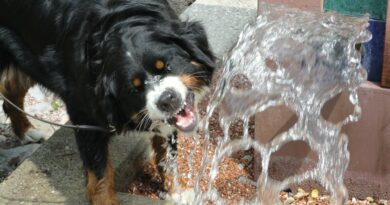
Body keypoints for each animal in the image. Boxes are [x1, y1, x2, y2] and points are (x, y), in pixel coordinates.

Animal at [0, 0, 215, 204]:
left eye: (166, 66)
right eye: (134, 88)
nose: (167, 100)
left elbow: (167, 155)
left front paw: (176, 192)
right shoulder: (84, 114)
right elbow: (100, 171)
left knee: (11, 88)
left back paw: (26, 131)